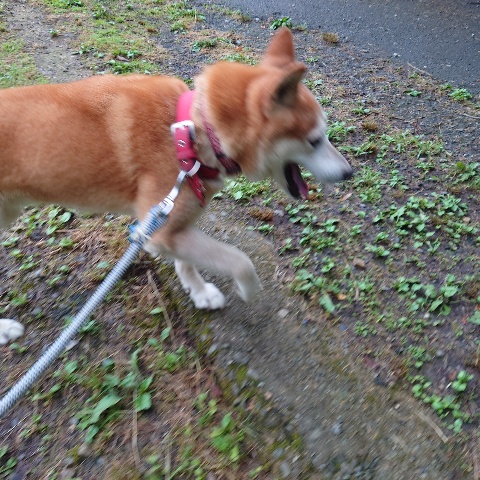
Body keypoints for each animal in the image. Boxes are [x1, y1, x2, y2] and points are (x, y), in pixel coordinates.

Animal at [0, 28, 352, 345]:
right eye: (315, 140)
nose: (349, 172)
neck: (191, 131)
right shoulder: (160, 232)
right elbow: (240, 261)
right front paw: (248, 288)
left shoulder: (172, 224)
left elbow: (188, 261)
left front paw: (199, 291)